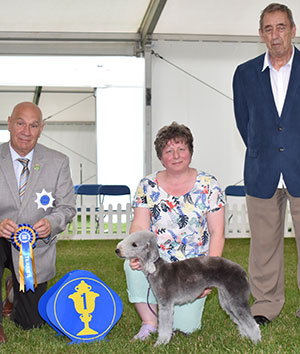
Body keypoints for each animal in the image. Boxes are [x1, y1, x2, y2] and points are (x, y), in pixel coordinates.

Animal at [116, 230, 262, 346]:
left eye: (134, 244)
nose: (117, 250)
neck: (156, 269)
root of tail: (242, 271)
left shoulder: (165, 304)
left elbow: (164, 326)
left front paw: (160, 344)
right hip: (227, 300)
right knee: (240, 320)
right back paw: (244, 338)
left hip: (237, 297)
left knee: (251, 323)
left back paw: (256, 342)